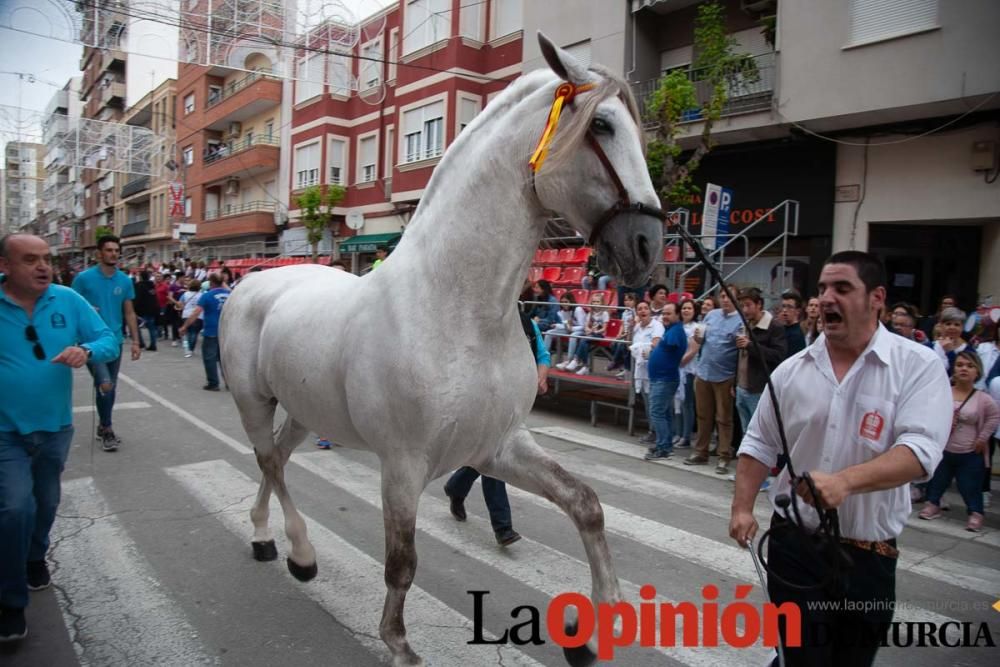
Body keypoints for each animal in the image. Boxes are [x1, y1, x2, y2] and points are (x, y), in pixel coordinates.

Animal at [223, 34, 668, 664]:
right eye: (602, 125)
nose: (647, 244)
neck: (458, 312)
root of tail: (249, 282)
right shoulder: (403, 464)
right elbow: (402, 561)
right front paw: (398, 643)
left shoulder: (496, 447)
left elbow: (586, 504)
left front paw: (592, 631)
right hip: (253, 403)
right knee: (267, 460)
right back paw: (300, 552)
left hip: (306, 412)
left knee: (278, 461)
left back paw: (270, 538)